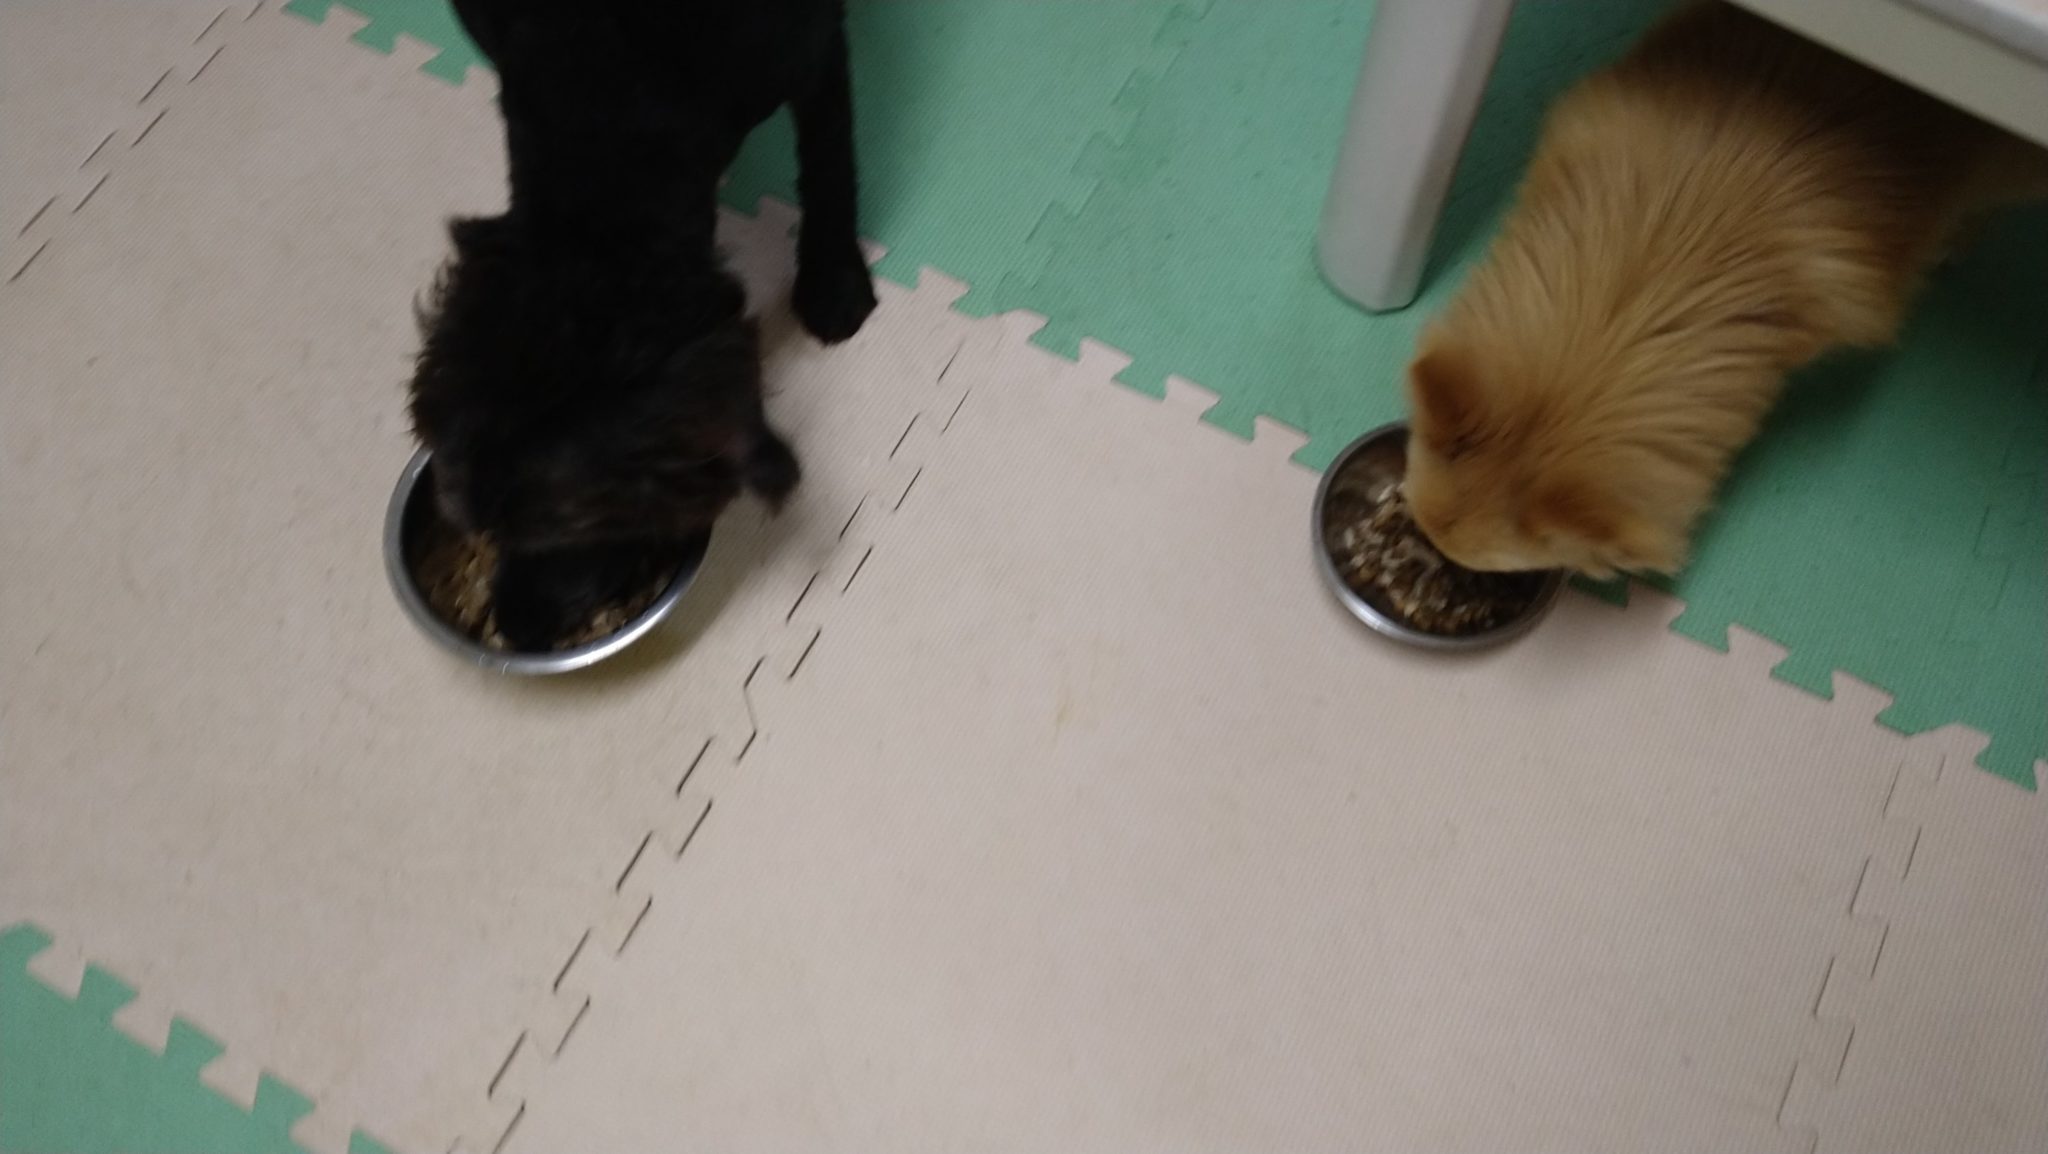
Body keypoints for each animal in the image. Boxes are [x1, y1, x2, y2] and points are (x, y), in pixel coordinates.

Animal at [408, 1, 877, 649]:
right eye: (486, 533)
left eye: (578, 535)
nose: (518, 626)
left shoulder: (813, 49)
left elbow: (830, 157)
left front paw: (834, 282)